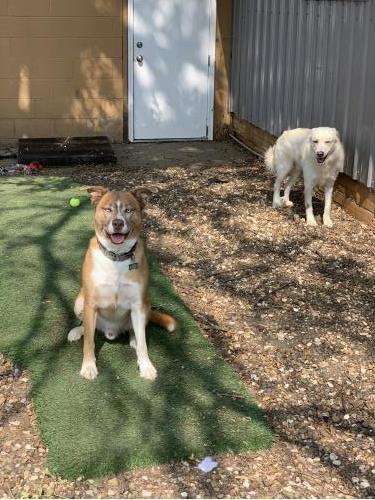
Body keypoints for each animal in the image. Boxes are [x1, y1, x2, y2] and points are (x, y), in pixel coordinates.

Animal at [68, 186, 177, 380]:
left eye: (129, 210)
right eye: (108, 209)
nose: (118, 223)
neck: (116, 257)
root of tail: (111, 332)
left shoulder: (138, 304)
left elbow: (143, 343)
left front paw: (146, 366)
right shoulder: (90, 303)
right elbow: (89, 341)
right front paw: (88, 366)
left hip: (145, 305)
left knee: (136, 332)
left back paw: (133, 339)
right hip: (79, 302)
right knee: (87, 328)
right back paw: (77, 331)